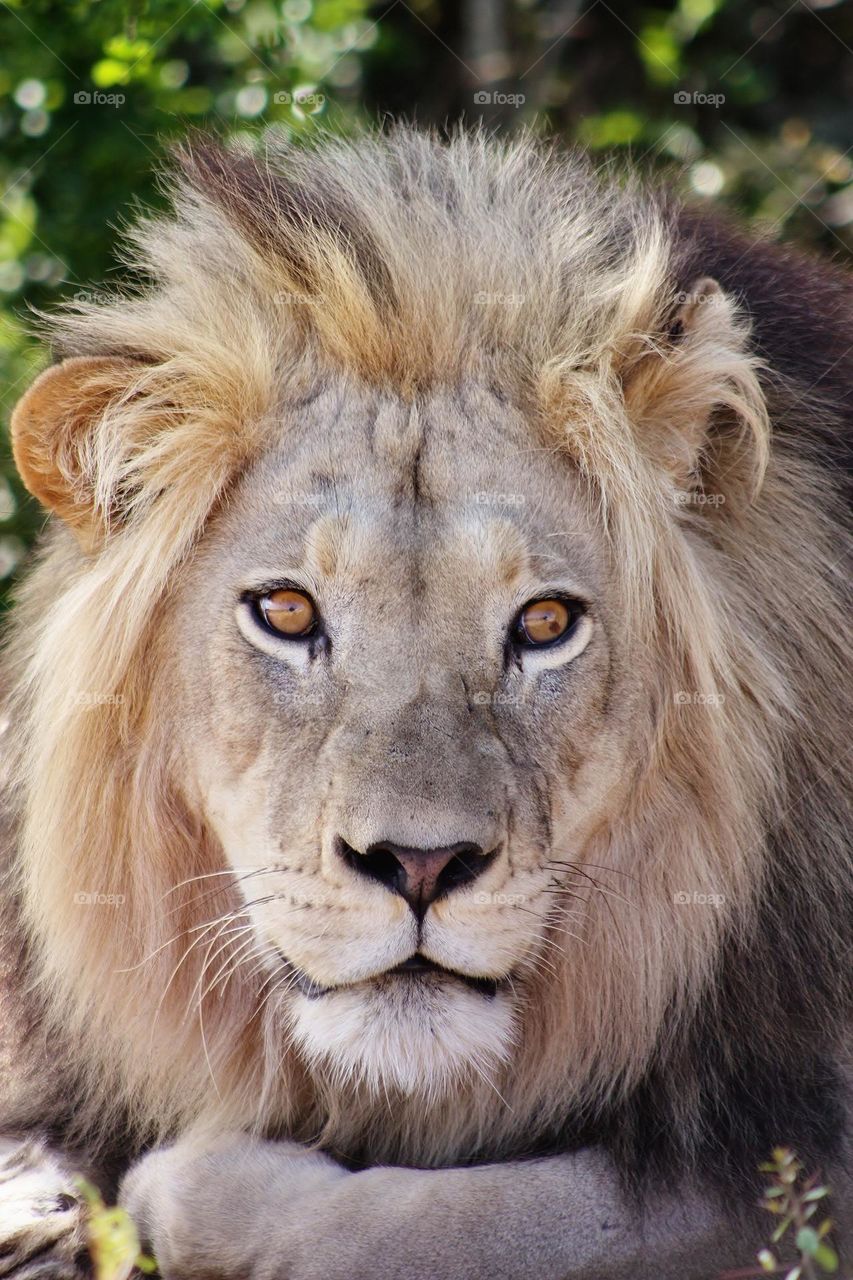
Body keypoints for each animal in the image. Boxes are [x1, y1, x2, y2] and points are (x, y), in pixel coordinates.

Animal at [0, 127, 850, 1280]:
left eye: (544, 623)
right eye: (285, 610)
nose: (419, 865)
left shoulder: (778, 1158)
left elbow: (446, 1224)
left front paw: (171, 1190)